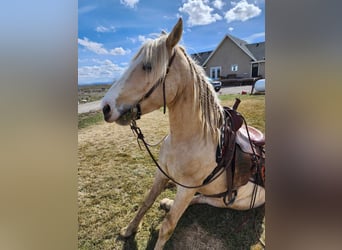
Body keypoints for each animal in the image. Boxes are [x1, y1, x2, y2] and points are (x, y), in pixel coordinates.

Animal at [101, 18, 264, 250]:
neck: (187, 141)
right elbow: (146, 202)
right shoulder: (161, 174)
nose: (105, 107)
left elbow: (168, 226)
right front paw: (129, 230)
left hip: (230, 202)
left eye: (148, 66)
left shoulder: (187, 190)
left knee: (203, 199)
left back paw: (170, 203)